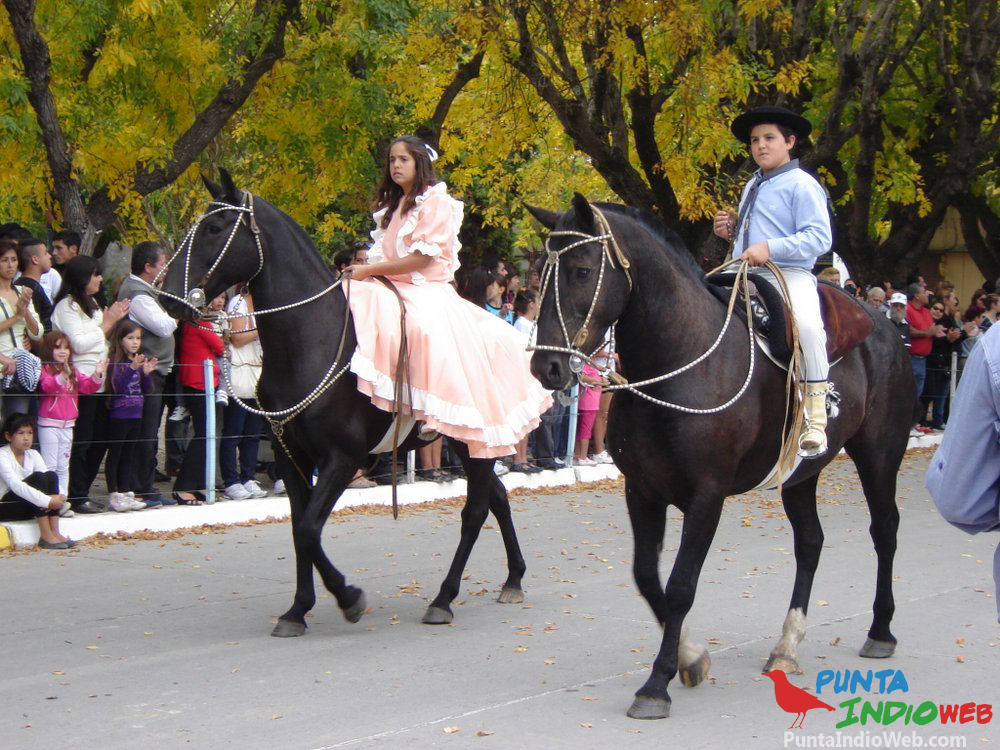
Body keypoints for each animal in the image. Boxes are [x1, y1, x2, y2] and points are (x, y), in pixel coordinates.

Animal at [158, 170, 529, 636]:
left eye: (215, 227)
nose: (165, 296)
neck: (312, 340)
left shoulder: (342, 457)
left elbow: (309, 530)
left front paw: (348, 598)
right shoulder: (290, 457)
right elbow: (300, 529)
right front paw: (297, 610)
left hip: (474, 440)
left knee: (476, 510)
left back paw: (443, 599)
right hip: (468, 443)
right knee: (497, 497)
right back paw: (513, 578)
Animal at [527, 194, 913, 720]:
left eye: (582, 271)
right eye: (541, 271)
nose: (544, 366)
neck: (680, 360)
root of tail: (885, 327)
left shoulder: (706, 496)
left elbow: (681, 585)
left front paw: (657, 683)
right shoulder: (642, 490)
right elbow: (647, 576)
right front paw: (691, 656)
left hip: (878, 454)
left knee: (885, 530)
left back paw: (881, 630)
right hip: (799, 475)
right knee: (810, 542)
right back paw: (786, 645)